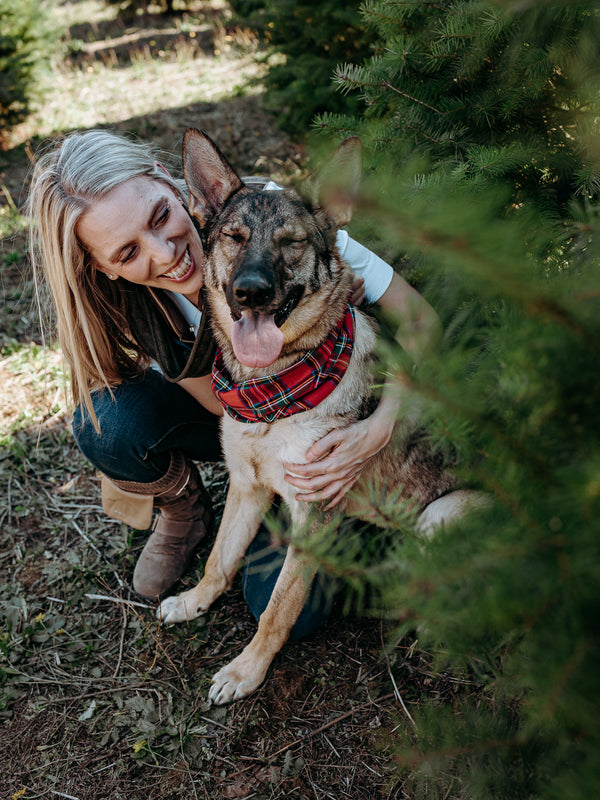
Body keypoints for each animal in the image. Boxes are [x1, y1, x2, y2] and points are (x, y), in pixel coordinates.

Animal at [158, 128, 482, 704]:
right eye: (235, 237)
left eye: (291, 243)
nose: (251, 292)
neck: (272, 390)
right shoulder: (246, 486)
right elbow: (219, 559)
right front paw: (194, 600)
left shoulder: (314, 512)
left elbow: (278, 606)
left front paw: (246, 671)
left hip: (442, 514)